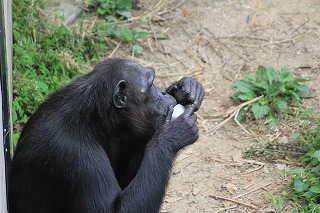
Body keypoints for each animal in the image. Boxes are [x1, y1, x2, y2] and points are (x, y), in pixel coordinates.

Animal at [9, 57, 205, 212]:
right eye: (150, 86)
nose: (163, 92)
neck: (93, 121)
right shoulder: (77, 157)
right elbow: (115, 209)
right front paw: (173, 135)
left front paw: (186, 87)